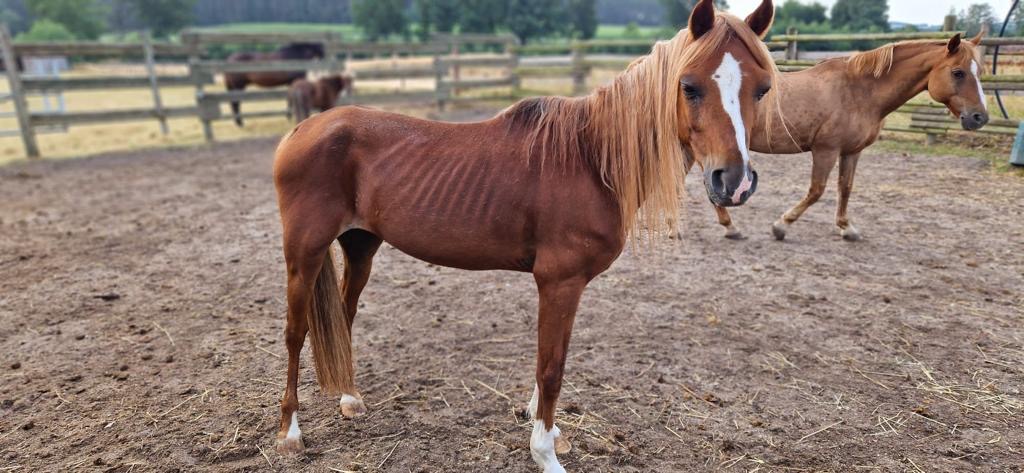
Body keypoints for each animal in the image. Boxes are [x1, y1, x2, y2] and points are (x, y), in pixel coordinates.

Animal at [271, 1, 780, 471]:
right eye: (689, 86)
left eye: (763, 88)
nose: (734, 182)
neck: (591, 159)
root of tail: (301, 128)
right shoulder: (559, 281)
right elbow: (551, 368)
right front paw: (545, 453)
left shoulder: (566, 286)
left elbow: (549, 361)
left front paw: (548, 434)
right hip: (304, 252)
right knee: (296, 332)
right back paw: (290, 433)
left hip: (360, 246)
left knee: (344, 316)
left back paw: (349, 399)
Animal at [697, 32, 989, 242]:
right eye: (958, 72)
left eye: (980, 71)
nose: (980, 117)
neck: (860, 90)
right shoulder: (826, 150)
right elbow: (816, 191)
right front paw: (781, 226)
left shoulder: (851, 151)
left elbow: (845, 188)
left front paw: (846, 228)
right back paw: (730, 226)